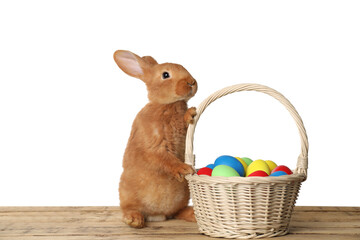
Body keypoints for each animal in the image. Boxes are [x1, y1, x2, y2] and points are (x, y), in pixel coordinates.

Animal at [113, 49, 197, 228]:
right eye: (165, 75)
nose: (191, 82)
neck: (166, 105)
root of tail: (158, 216)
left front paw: (191, 112)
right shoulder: (155, 145)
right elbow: (165, 159)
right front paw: (184, 169)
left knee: (177, 212)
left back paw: (193, 214)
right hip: (126, 193)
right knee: (128, 209)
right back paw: (134, 219)